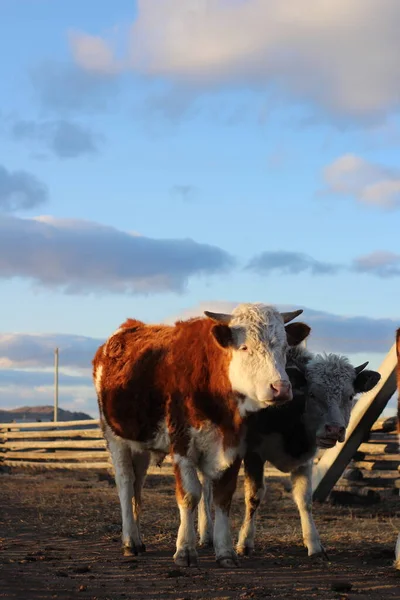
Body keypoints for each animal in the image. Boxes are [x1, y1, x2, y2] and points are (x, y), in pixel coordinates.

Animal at [93, 304, 310, 568]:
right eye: (245, 347)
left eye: (285, 348)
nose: (281, 388)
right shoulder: (182, 444)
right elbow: (190, 495)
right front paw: (185, 550)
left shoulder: (233, 447)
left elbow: (223, 496)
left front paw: (225, 551)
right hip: (115, 437)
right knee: (125, 483)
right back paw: (130, 542)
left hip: (140, 444)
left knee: (137, 483)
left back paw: (138, 538)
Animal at [197, 346, 382, 556]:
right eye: (312, 394)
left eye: (350, 396)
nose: (334, 429)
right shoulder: (254, 454)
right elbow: (254, 496)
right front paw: (245, 541)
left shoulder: (305, 460)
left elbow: (305, 499)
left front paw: (314, 543)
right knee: (204, 487)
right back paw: (206, 533)